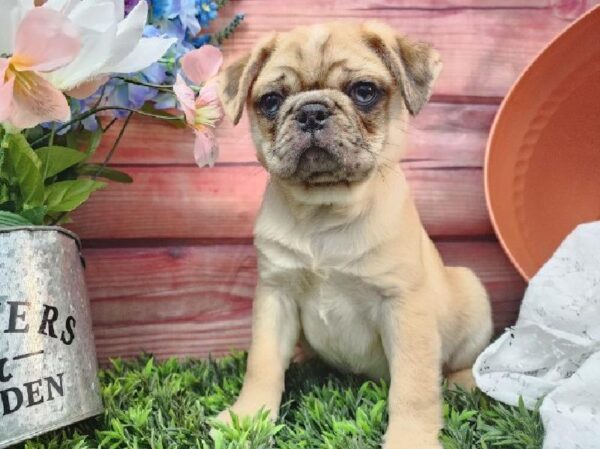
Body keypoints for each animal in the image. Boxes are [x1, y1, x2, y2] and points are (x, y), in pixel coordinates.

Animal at [216, 21, 492, 448]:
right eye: (271, 101)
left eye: (364, 91)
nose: (311, 111)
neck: (324, 210)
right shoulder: (276, 296)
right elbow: (261, 364)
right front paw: (247, 418)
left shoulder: (404, 306)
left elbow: (413, 385)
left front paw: (410, 439)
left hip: (472, 296)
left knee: (463, 364)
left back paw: (462, 383)